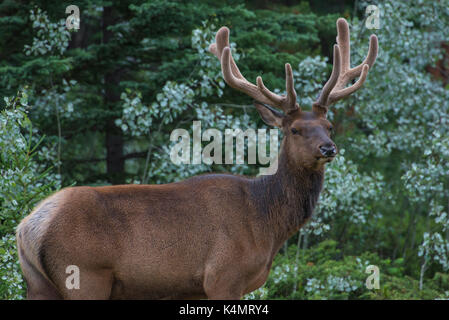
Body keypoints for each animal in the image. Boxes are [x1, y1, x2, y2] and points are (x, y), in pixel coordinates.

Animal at [15, 18, 376, 300]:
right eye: (296, 130)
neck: (265, 223)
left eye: (329, 126)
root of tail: (29, 226)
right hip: (85, 274)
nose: (328, 148)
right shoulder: (223, 276)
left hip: (38, 283)